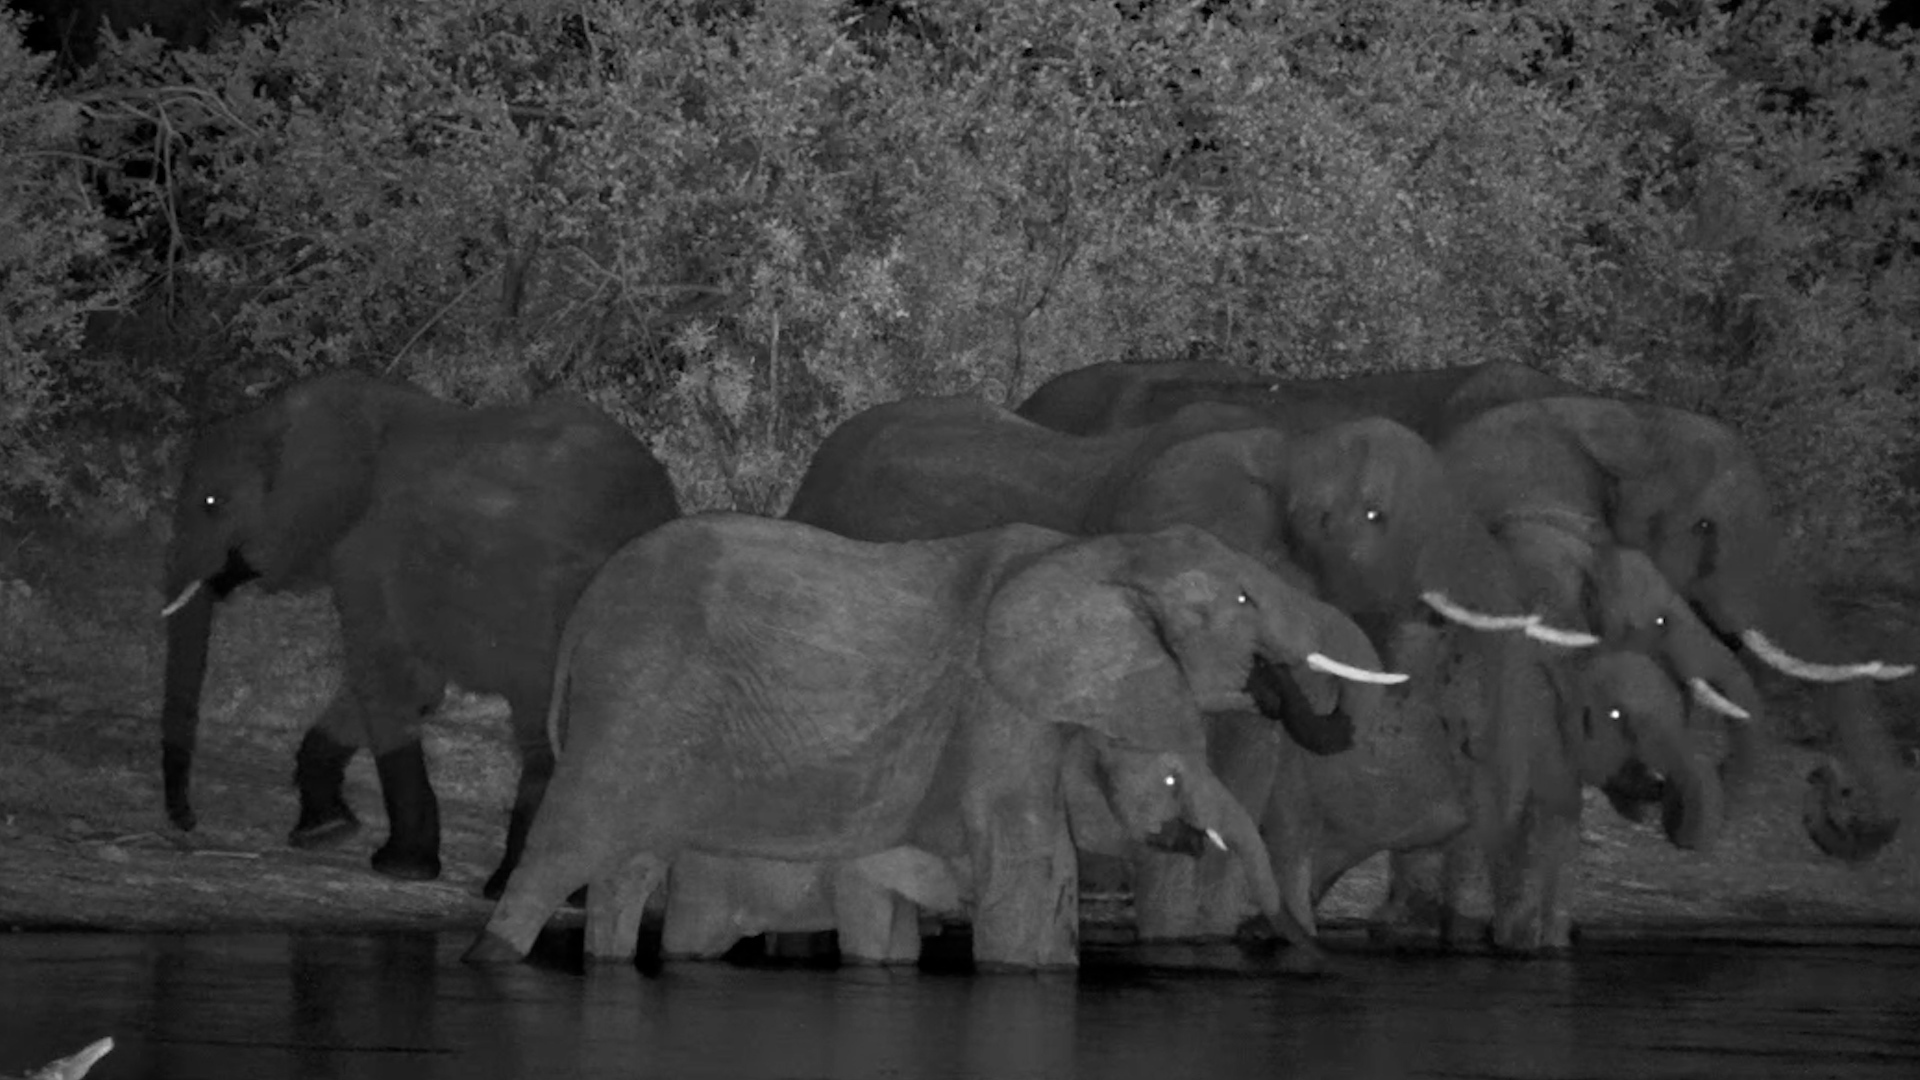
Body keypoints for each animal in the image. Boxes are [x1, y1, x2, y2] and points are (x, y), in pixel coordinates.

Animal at [159, 371, 681, 893]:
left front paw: (399, 866)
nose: (188, 823)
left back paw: (512, 888)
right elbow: (412, 689)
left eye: (212, 502)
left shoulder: (365, 550)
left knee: (545, 729)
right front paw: (325, 832)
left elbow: (384, 680)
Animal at [464, 515, 1407, 970]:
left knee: (628, 867)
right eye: (1245, 601)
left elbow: (1054, 873)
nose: (1315, 955)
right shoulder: (999, 703)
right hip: (635, 694)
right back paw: (490, 956)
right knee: (567, 846)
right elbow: (1026, 862)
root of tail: (582, 614)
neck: (1100, 553)